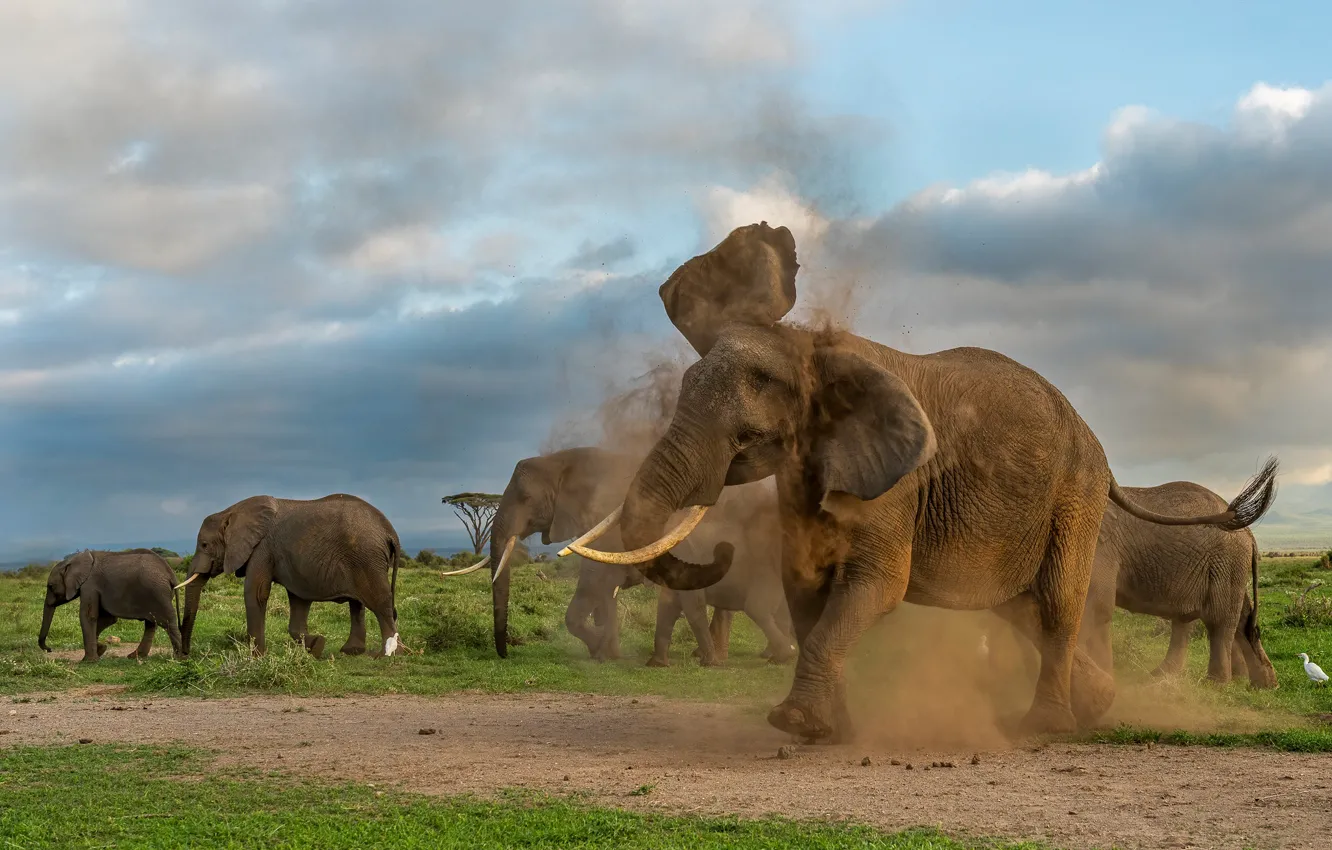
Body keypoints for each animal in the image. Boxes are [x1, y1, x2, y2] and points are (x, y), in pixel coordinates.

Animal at [36, 554, 183, 666]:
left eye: (50, 586)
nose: (49, 649)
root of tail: (171, 573)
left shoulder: (90, 586)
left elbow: (88, 616)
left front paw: (88, 662)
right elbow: (108, 619)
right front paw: (101, 649)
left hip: (158, 593)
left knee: (168, 623)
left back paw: (180, 657)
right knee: (151, 624)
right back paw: (135, 656)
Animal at [179, 495, 402, 663]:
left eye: (205, 545)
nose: (185, 656)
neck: (230, 512)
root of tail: (390, 531)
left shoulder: (262, 548)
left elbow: (256, 592)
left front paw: (257, 658)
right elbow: (298, 601)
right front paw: (317, 646)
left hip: (367, 558)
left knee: (380, 602)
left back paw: (387, 655)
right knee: (358, 604)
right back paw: (351, 651)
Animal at [476, 447, 793, 666]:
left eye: (526, 499)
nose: (505, 654)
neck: (562, 459)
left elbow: (595, 581)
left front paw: (600, 648)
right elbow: (606, 591)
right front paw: (609, 652)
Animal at [1081, 479, 1278, 692]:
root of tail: (1249, 534)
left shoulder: (1102, 547)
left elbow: (1096, 605)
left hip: (1227, 562)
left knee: (1219, 619)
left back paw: (1216, 684)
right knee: (1233, 619)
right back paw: (1261, 684)